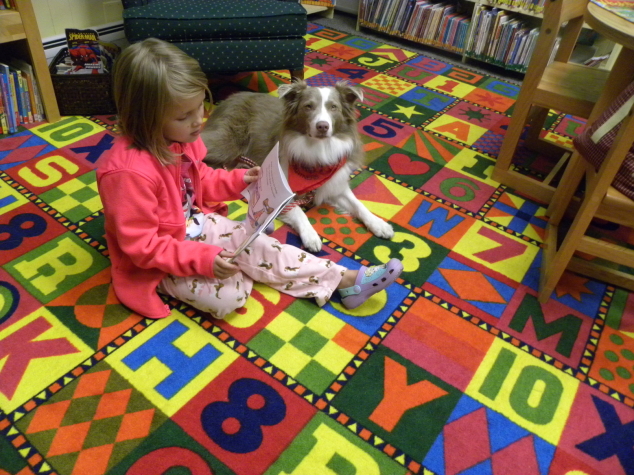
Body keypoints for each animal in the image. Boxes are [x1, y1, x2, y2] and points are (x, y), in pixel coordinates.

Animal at [200, 81, 392, 253]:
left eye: (333, 107)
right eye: (308, 106)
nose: (322, 126)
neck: (318, 151)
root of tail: (230, 97)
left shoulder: (334, 185)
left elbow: (358, 205)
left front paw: (379, 224)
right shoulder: (283, 192)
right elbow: (299, 211)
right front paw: (311, 235)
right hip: (225, 142)